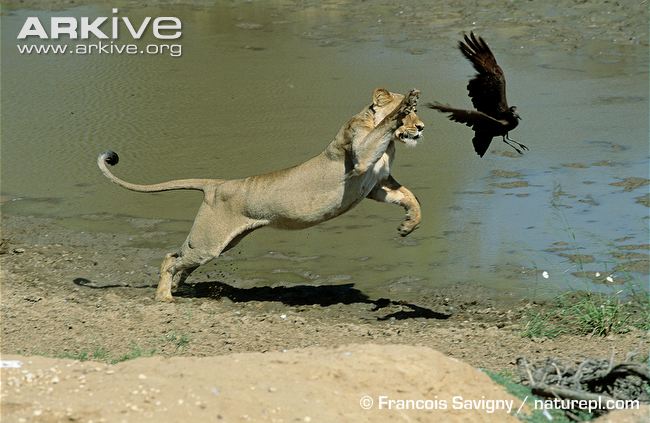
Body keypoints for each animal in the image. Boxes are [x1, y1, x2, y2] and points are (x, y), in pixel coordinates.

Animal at [97, 88, 424, 301]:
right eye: (411, 114)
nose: (421, 127)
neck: (390, 146)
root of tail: (217, 184)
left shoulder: (377, 184)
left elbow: (410, 198)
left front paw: (409, 225)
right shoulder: (360, 159)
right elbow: (382, 129)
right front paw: (402, 105)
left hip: (222, 242)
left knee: (180, 258)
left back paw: (176, 288)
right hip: (209, 243)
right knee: (170, 258)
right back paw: (164, 297)